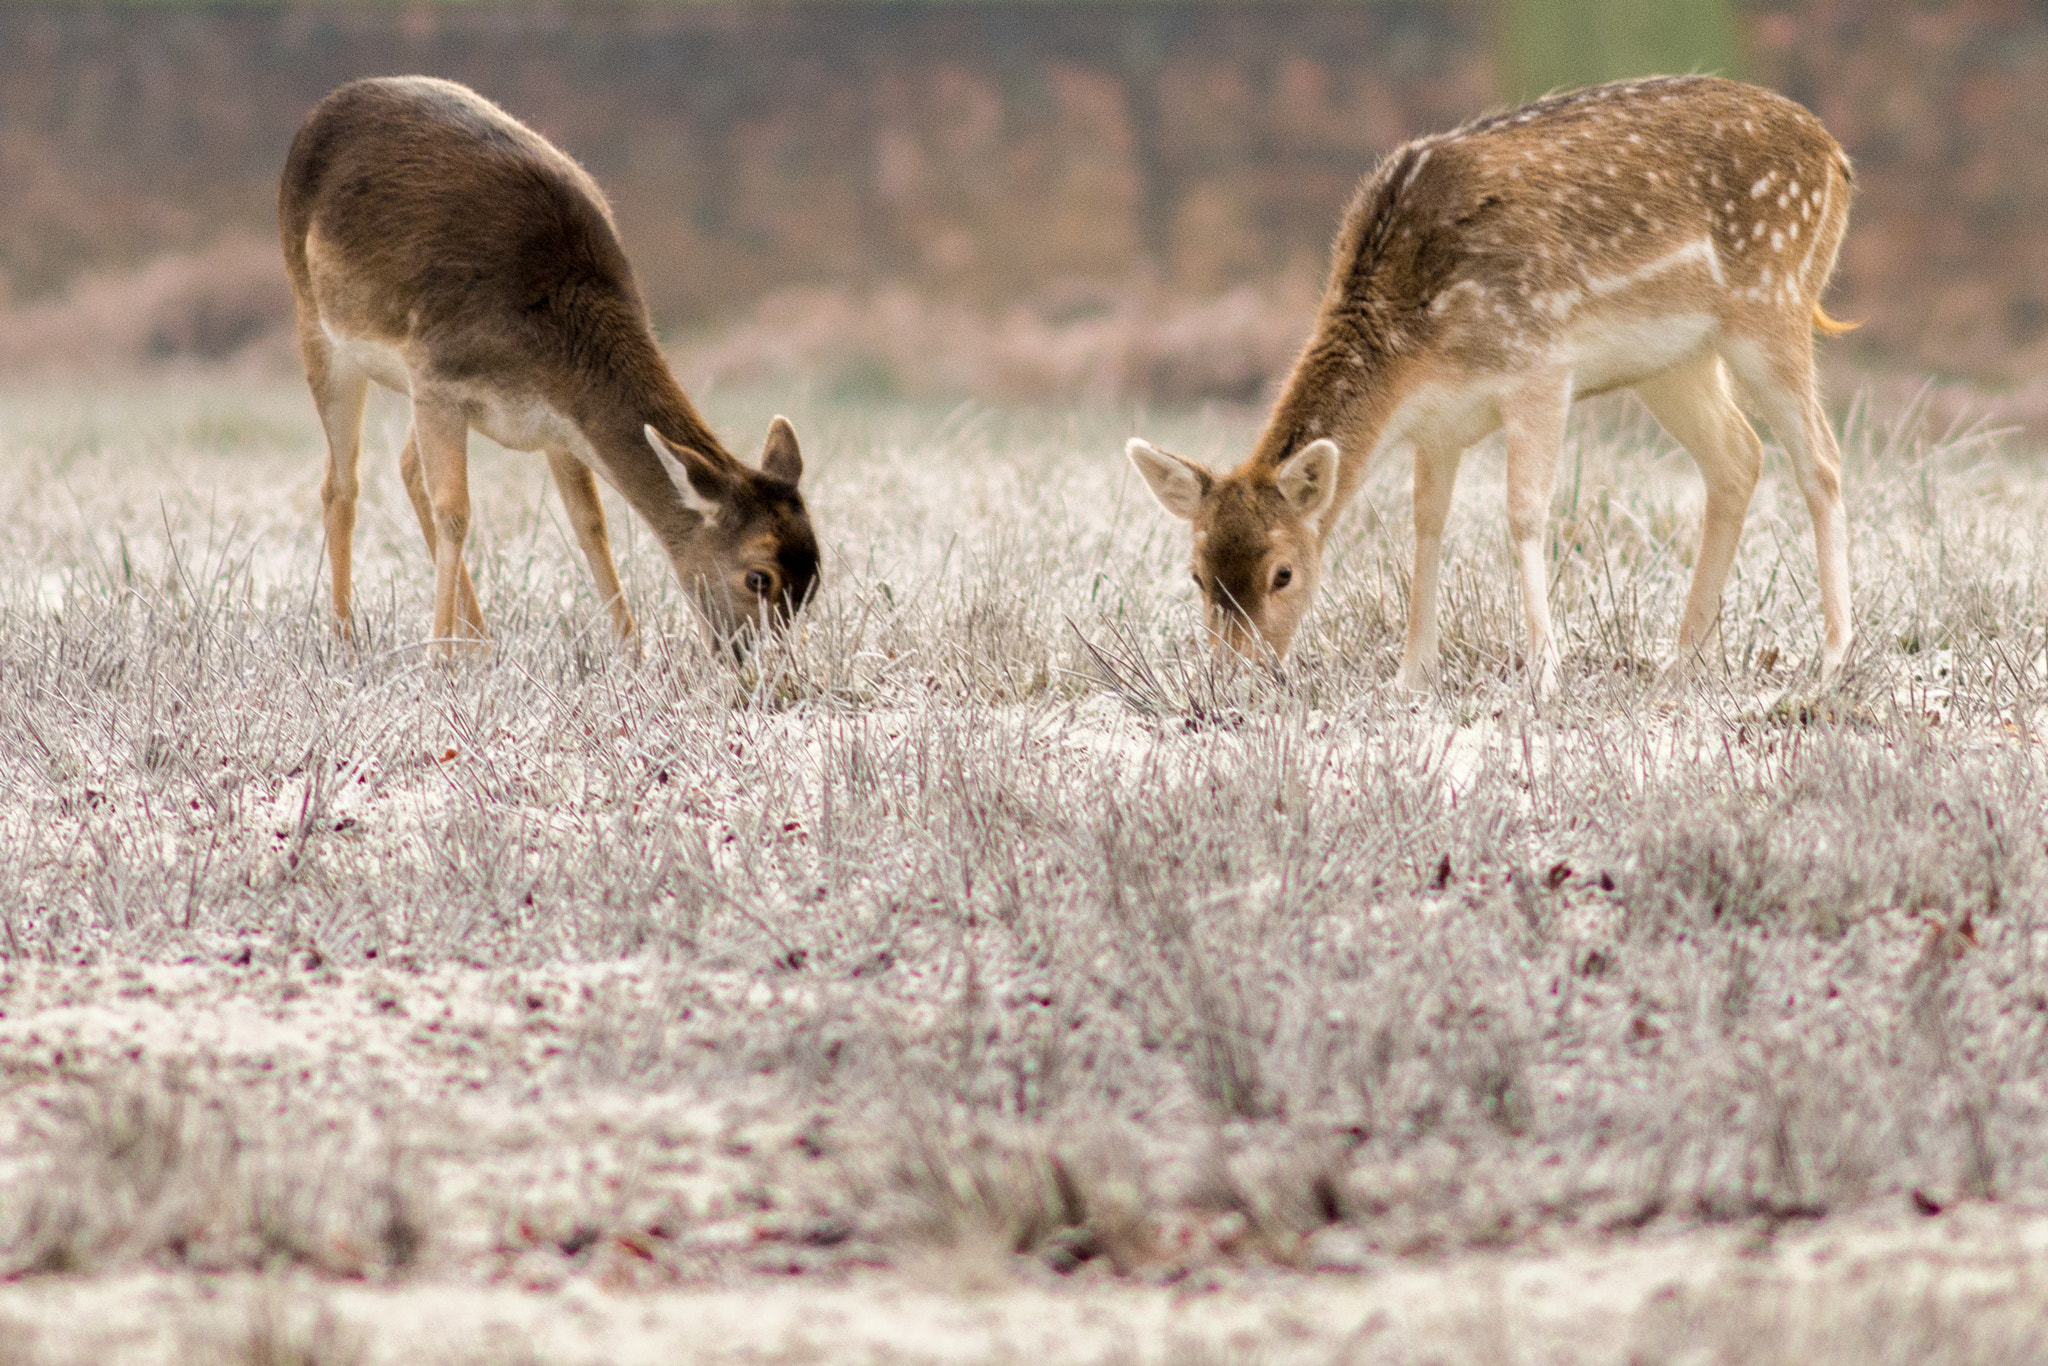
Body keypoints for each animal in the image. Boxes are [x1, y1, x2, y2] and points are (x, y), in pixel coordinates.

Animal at [282, 77, 823, 655]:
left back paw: (481, 642)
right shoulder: (437, 373)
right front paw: (438, 660)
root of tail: (327, 106)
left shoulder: (560, 423)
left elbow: (591, 523)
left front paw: (630, 652)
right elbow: (456, 512)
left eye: (814, 580)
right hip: (316, 320)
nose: (763, 660)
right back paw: (346, 640)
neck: (541, 359)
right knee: (341, 484)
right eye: (758, 576)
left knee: (405, 467)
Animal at [1130, 76, 1867, 696]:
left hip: (1773, 301)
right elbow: (1427, 524)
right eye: (1197, 573)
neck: (1418, 349)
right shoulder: (1438, 424)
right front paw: (1410, 674)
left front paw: (1543, 674)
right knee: (1738, 456)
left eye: (1282, 573)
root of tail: (1837, 155)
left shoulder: (1540, 364)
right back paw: (1684, 658)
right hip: (1675, 361)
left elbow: (1524, 512)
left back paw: (1832, 657)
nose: (1232, 678)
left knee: (1822, 460)